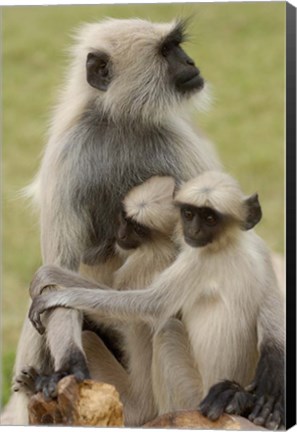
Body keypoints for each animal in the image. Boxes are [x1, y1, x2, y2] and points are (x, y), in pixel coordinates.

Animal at [6, 17, 220, 426]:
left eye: (177, 47)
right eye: (167, 51)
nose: (190, 62)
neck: (122, 123)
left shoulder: (178, 147)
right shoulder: (69, 155)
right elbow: (57, 273)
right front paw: (70, 366)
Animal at [28, 171, 284, 428]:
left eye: (138, 228)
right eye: (125, 219)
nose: (121, 234)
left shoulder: (175, 261)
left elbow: (137, 312)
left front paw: (54, 285)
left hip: (140, 404)